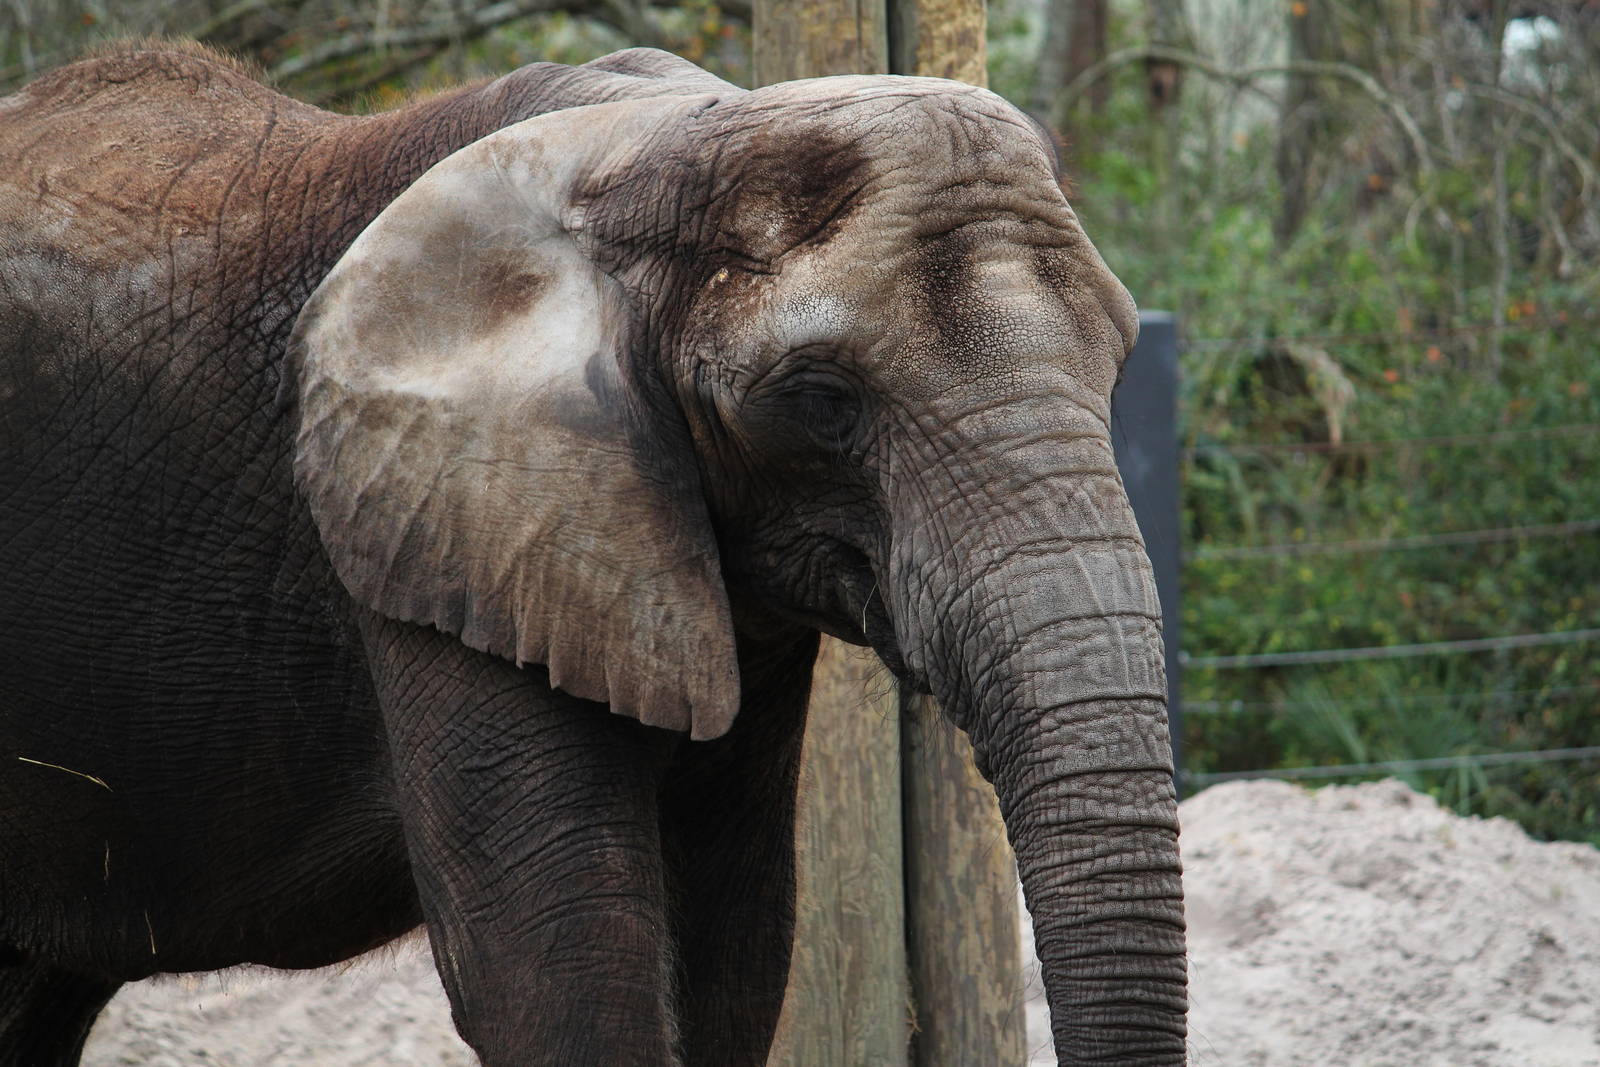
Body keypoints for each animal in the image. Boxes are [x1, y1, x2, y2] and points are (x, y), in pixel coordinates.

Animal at [0, 41, 1186, 1066]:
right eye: (821, 398)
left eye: (1122, 362)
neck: (656, 142)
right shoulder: (444, 517)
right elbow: (555, 969)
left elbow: (735, 953)